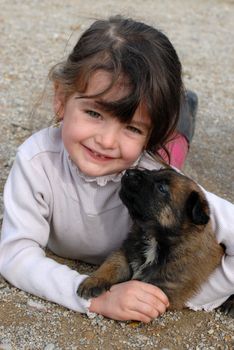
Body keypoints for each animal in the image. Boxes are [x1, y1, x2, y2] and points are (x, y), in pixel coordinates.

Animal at [77, 169, 224, 308]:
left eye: (162, 188)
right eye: (152, 171)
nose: (129, 172)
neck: (154, 238)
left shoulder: (166, 287)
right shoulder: (125, 253)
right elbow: (111, 265)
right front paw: (93, 282)